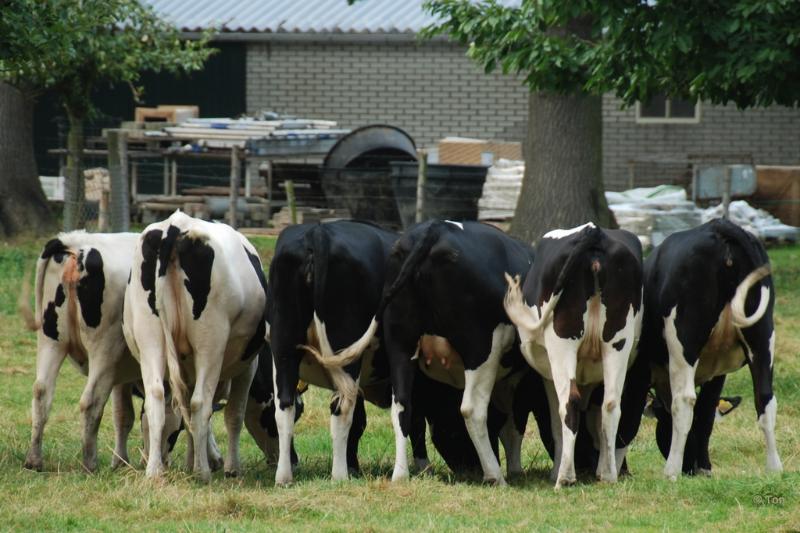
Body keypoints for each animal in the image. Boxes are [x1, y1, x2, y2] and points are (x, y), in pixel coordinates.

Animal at [21, 232, 142, 470]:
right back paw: (90, 463)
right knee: (91, 401)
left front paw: (120, 462)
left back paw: (34, 460)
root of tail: (77, 241)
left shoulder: (122, 376)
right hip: (104, 350)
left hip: (52, 342)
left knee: (41, 392)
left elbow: (124, 415)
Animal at [122, 210, 266, 480]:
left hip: (150, 340)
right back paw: (203, 473)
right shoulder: (248, 366)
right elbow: (233, 415)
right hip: (210, 345)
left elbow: (185, 416)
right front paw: (230, 467)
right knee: (201, 404)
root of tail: (175, 226)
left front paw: (191, 461)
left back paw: (154, 470)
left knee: (156, 399)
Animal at [506, 221, 644, 486]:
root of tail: (594, 232)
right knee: (611, 404)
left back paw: (565, 477)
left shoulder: (547, 374)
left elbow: (556, 422)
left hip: (562, 342)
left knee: (569, 403)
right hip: (617, 342)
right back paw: (608, 475)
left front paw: (557, 469)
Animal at [644, 217, 780, 478]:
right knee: (764, 398)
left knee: (684, 401)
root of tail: (719, 227)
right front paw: (705, 467)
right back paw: (774, 468)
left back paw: (671, 472)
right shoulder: (718, 372)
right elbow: (706, 416)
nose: (690, 468)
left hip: (684, 339)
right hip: (762, 337)